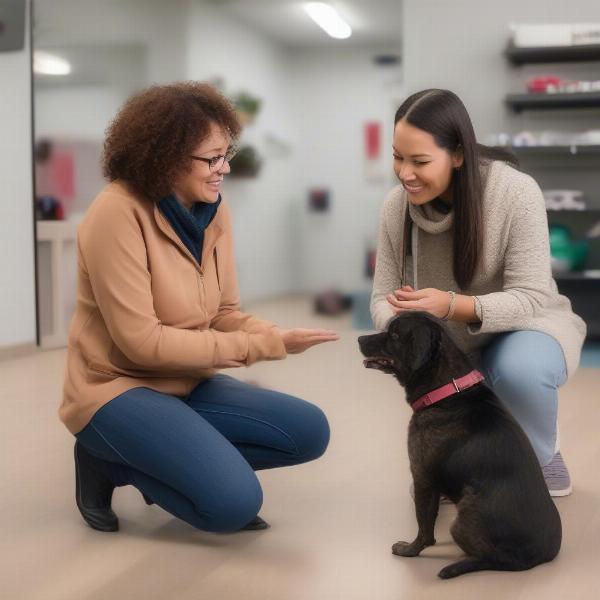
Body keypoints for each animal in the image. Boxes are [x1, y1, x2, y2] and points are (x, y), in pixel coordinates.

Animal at [360, 312, 564, 580]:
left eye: (394, 334)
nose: (359, 339)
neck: (447, 393)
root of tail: (538, 557)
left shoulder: (423, 477)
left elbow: (424, 528)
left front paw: (409, 550)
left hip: (462, 519)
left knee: (494, 559)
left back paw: (454, 568)